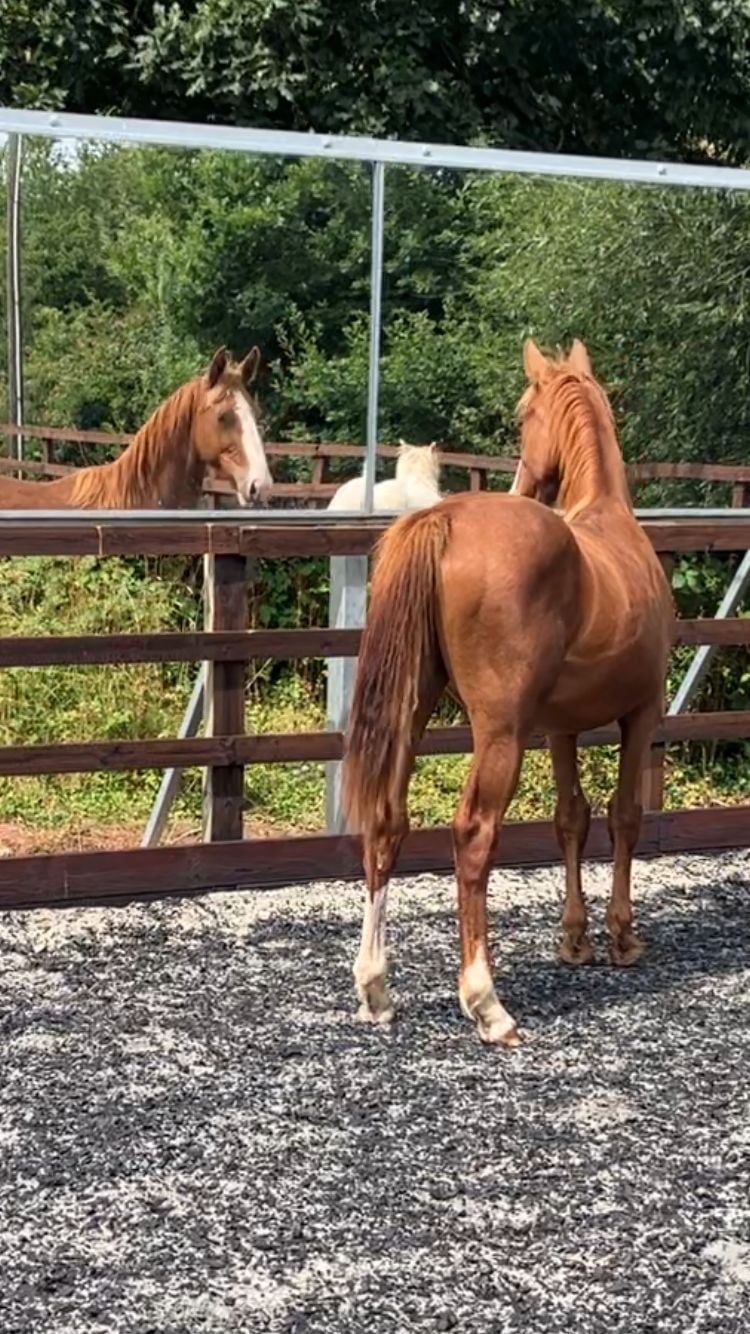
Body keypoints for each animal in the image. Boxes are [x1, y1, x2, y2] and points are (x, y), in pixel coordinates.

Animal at [342, 338, 674, 1047]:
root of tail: (442, 519)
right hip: (499, 734)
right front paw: (621, 937)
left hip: (412, 714)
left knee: (386, 822)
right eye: (526, 413)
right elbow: (624, 815)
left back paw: (376, 989)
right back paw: (486, 1002)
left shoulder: (561, 727)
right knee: (473, 835)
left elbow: (571, 817)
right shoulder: (641, 714)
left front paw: (574, 939)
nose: (526, 482)